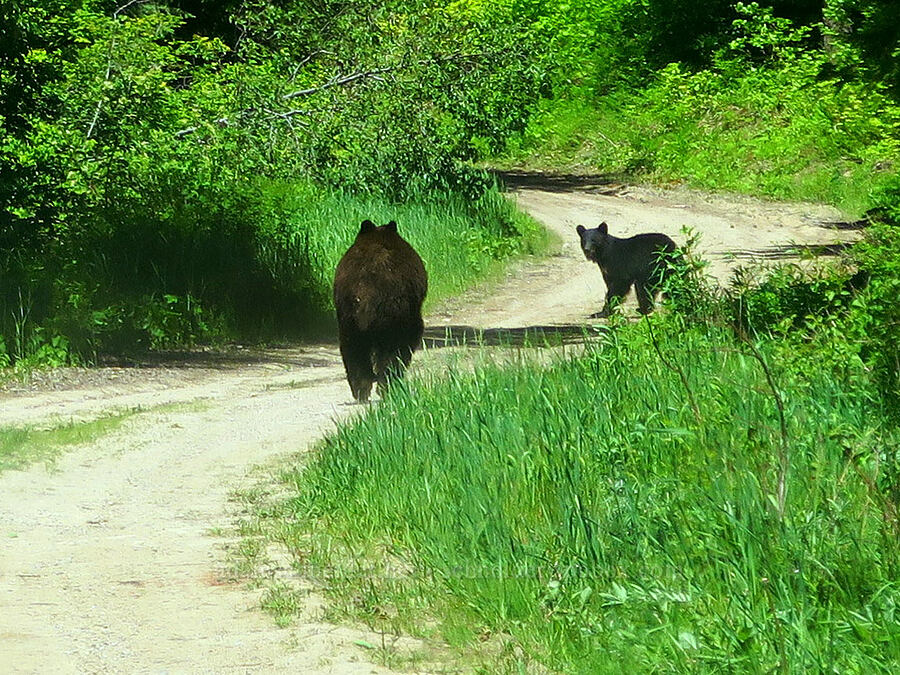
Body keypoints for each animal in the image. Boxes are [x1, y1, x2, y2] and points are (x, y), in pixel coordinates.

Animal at [334, 220, 428, 402]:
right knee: (393, 350)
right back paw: (387, 387)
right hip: (393, 314)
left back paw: (361, 389)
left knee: (352, 348)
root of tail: (365, 293)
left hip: (347, 315)